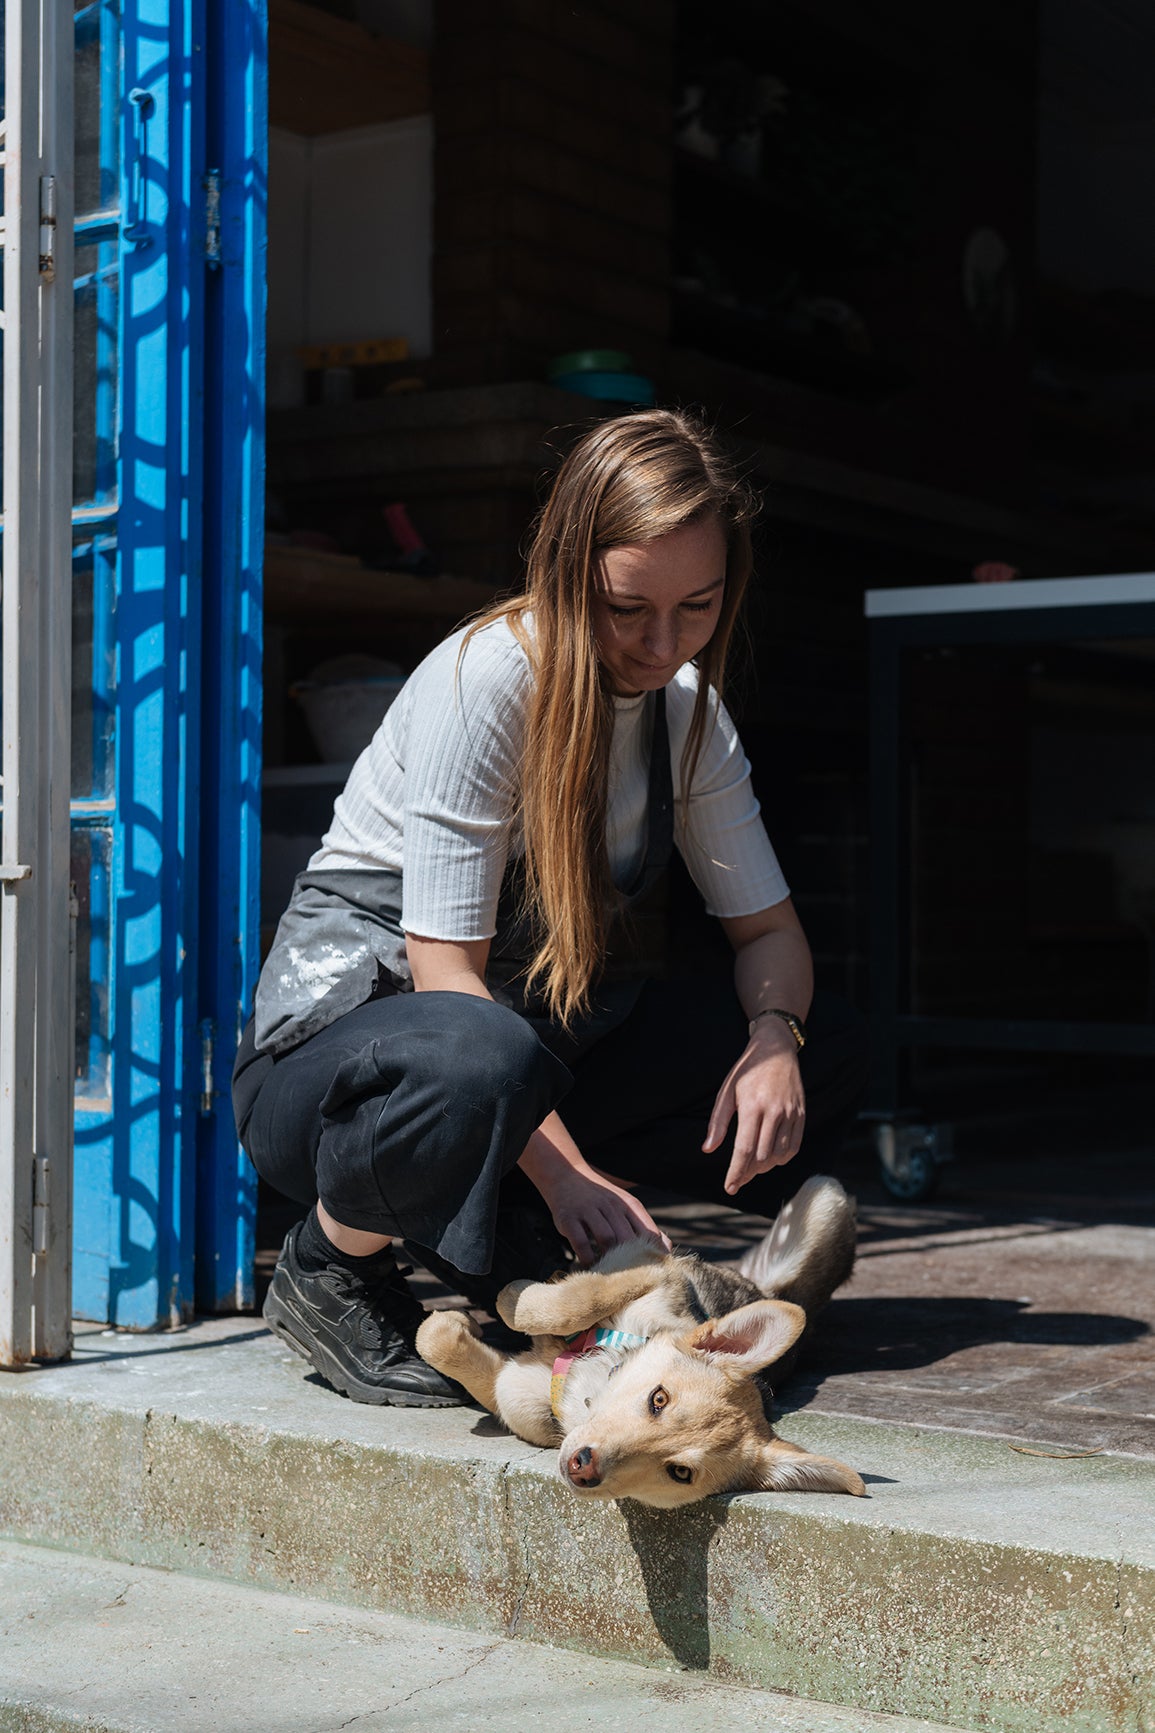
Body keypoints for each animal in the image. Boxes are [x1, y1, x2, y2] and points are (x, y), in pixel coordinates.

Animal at [416, 1178, 863, 1504]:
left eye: (679, 1473)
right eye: (658, 1399)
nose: (582, 1467)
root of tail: (760, 1289)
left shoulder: (517, 1397)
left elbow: (444, 1344)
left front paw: (463, 1323)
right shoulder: (651, 1259)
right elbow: (576, 1300)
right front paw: (512, 1297)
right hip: (824, 1198)